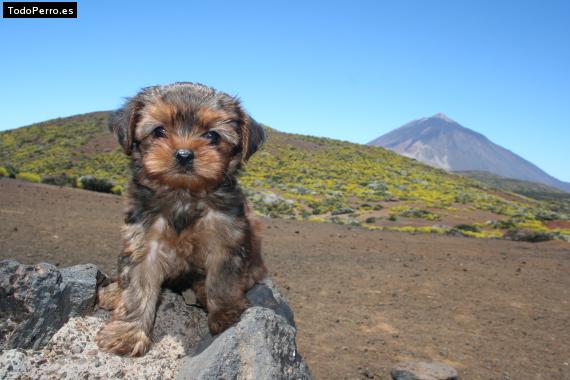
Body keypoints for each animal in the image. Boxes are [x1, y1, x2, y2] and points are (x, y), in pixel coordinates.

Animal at [95, 82, 266, 356]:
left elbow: (222, 281)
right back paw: (113, 292)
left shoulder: (226, 239)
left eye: (212, 136)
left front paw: (226, 313)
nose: (184, 155)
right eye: (159, 131)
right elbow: (136, 288)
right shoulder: (143, 241)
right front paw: (128, 333)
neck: (183, 194)